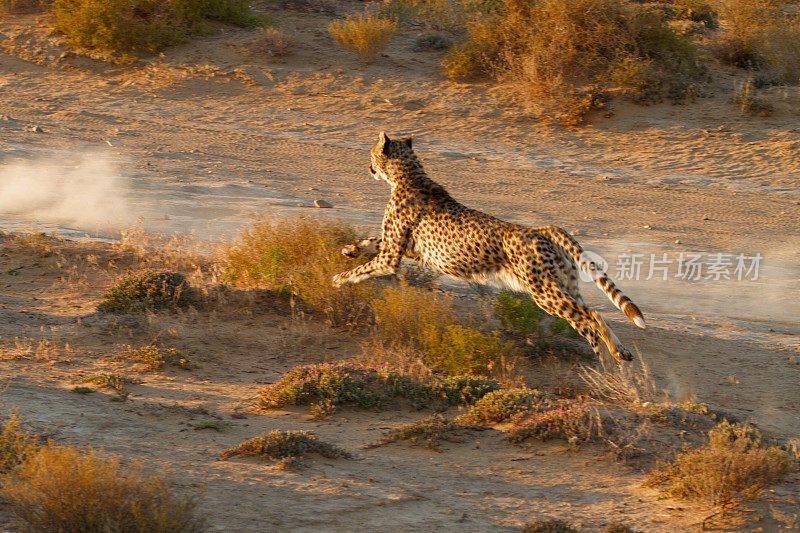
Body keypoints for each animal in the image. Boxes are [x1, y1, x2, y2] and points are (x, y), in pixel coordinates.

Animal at [334, 132, 648, 362]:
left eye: (371, 154)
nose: (368, 167)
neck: (408, 174)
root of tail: (539, 229)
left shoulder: (392, 256)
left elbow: (364, 267)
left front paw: (339, 278)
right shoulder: (409, 249)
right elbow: (371, 242)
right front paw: (350, 250)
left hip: (543, 292)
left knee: (592, 316)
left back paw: (609, 355)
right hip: (564, 286)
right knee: (588, 318)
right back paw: (616, 354)